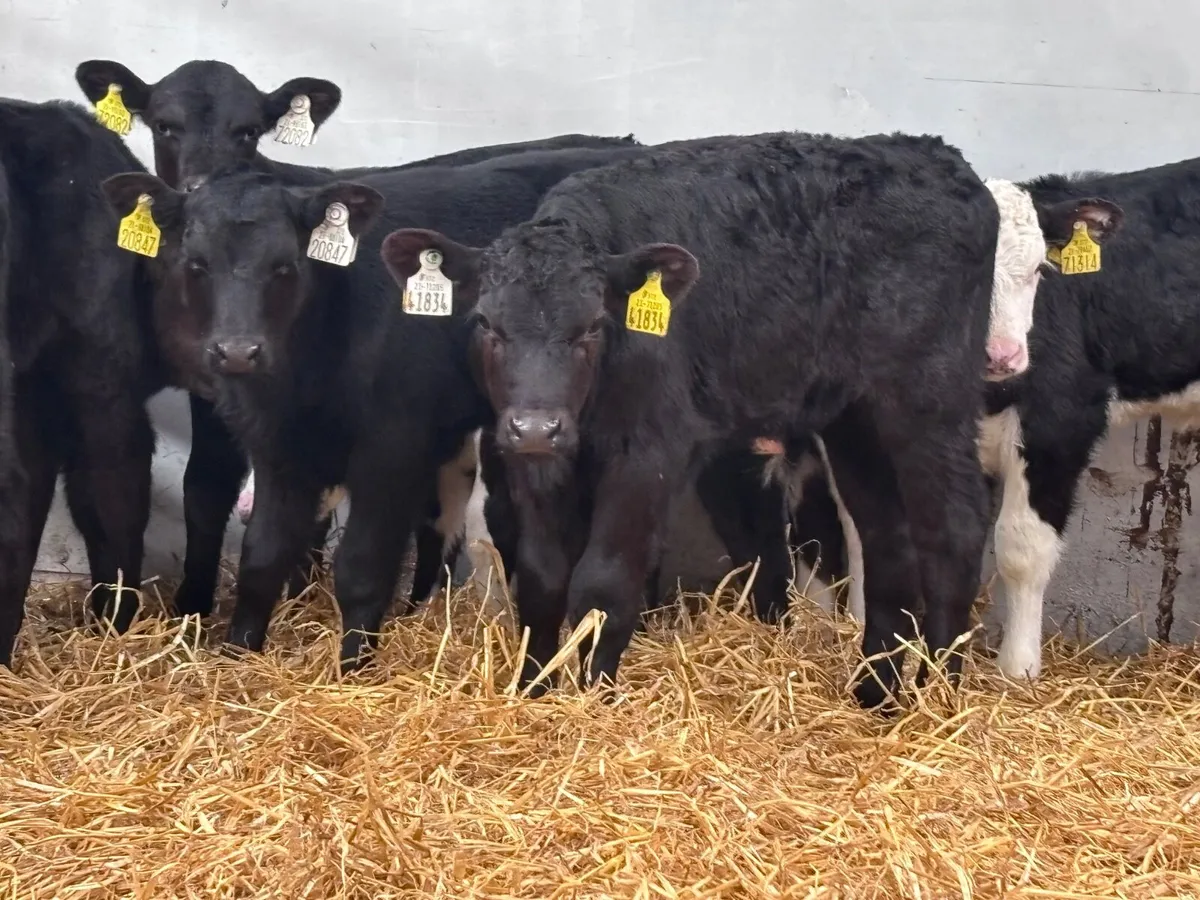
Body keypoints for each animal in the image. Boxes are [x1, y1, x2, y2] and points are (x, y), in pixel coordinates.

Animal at [382, 131, 1010, 709]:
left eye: (591, 326)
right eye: (487, 323)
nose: (537, 426)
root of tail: (934, 153)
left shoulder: (648, 452)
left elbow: (605, 581)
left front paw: (592, 701)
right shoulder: (536, 463)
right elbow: (542, 576)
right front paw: (533, 691)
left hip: (930, 401)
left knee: (954, 530)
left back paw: (937, 696)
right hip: (855, 419)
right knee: (888, 542)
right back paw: (874, 692)